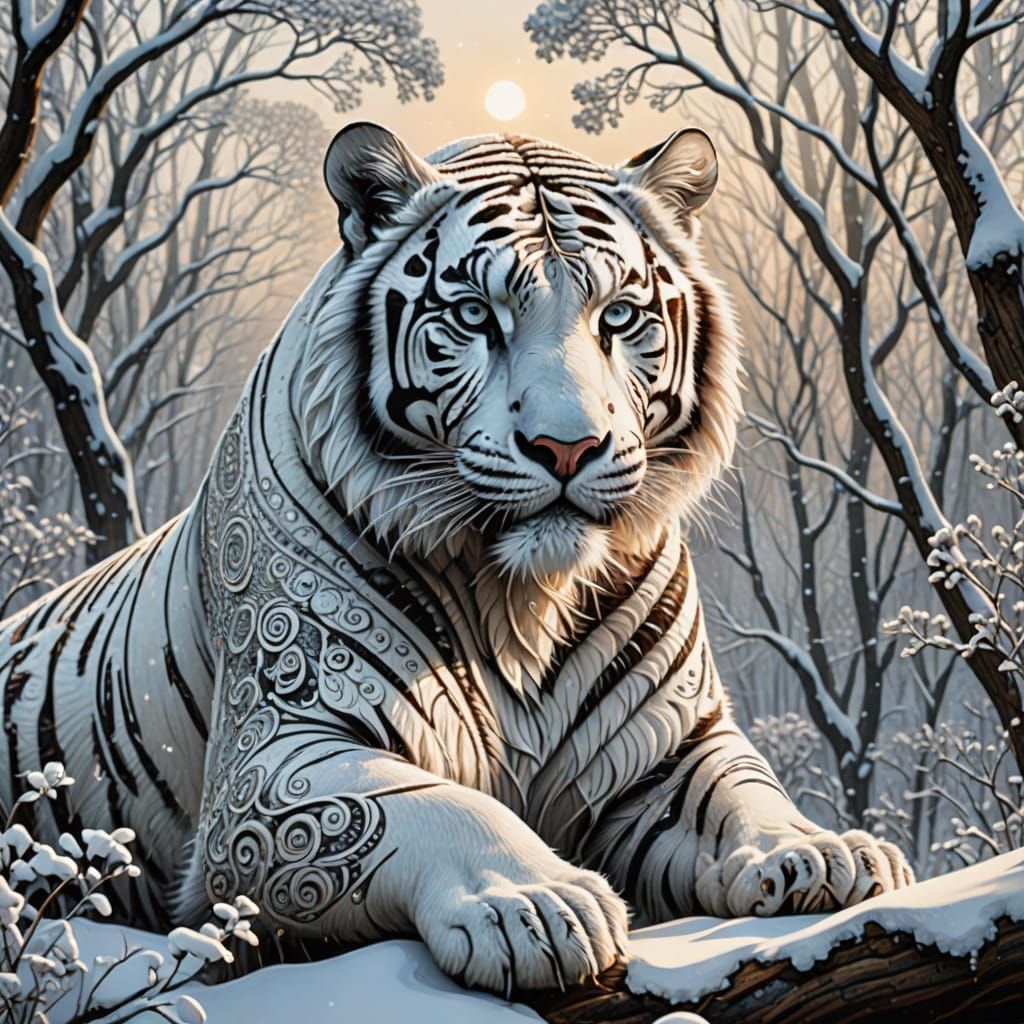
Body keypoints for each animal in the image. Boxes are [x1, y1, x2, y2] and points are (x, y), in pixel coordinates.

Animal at [0, 123, 914, 995]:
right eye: (476, 317)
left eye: (619, 317)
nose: (566, 446)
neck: (524, 599)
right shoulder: (278, 762)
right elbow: (437, 808)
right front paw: (534, 905)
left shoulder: (670, 749)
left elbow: (745, 794)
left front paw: (822, 853)